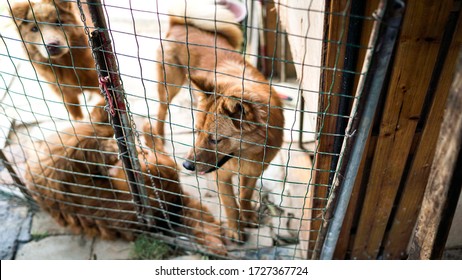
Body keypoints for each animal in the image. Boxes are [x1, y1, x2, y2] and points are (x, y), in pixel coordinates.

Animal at [157, 0, 284, 241]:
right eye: (197, 131)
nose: (187, 166)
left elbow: (245, 195)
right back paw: (158, 138)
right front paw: (235, 230)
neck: (245, 154)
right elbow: (230, 204)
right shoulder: (222, 176)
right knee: (160, 112)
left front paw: (248, 217)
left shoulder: (253, 172)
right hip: (170, 87)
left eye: (215, 140)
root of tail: (180, 22)